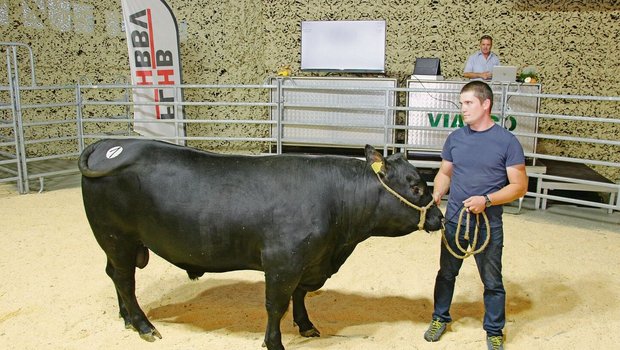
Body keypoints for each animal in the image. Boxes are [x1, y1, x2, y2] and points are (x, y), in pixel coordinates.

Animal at [80, 139, 444, 350]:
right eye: (414, 186)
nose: (439, 217)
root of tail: (112, 143)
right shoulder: (283, 263)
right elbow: (276, 305)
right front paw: (275, 343)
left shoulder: (308, 262)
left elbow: (299, 296)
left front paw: (306, 326)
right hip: (117, 236)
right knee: (125, 278)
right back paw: (143, 325)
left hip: (117, 243)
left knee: (116, 276)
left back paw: (127, 318)